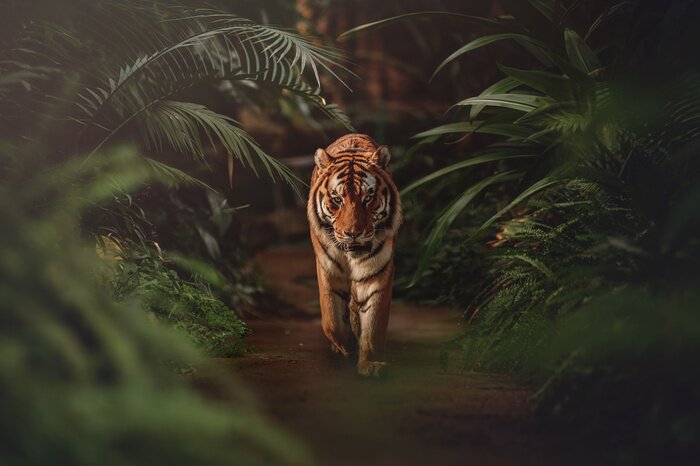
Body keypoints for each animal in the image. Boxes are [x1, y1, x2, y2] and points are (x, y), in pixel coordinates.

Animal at [307, 133, 402, 377]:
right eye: (337, 199)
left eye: (368, 198)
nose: (353, 233)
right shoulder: (327, 270)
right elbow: (331, 321)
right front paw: (346, 345)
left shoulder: (377, 273)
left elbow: (374, 325)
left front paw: (370, 364)